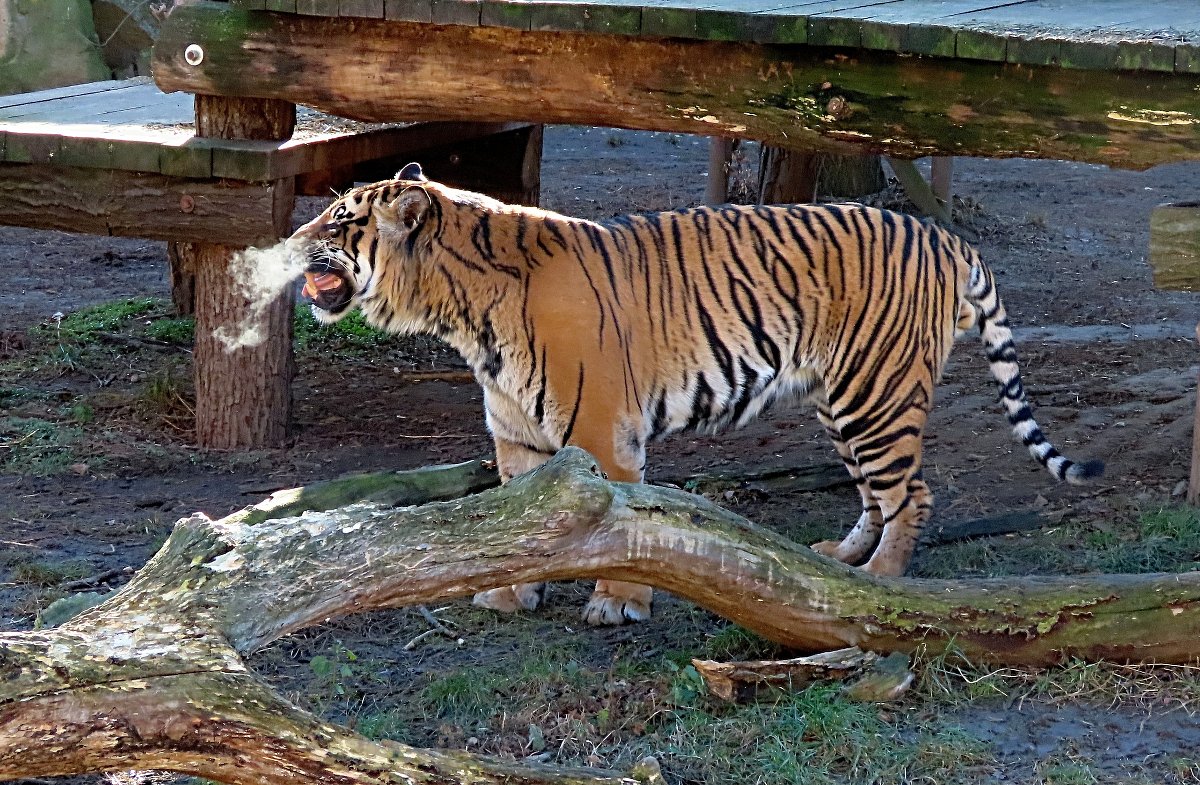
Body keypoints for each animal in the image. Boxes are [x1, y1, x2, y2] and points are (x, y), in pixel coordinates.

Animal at [295, 163, 1099, 628]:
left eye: (341, 219)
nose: (291, 241)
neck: (458, 313)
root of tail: (941, 236)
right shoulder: (517, 435)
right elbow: (515, 526)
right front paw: (510, 596)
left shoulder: (601, 431)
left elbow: (618, 528)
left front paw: (616, 605)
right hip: (840, 399)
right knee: (876, 492)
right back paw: (840, 560)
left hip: (876, 393)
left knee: (914, 494)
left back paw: (880, 584)